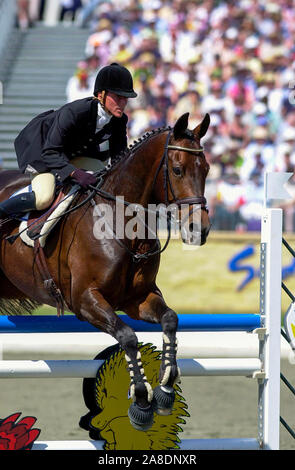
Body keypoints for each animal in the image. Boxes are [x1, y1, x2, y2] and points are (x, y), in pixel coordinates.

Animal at [0, 112, 212, 432]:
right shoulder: (85, 301)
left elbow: (170, 320)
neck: (122, 222)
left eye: (208, 170)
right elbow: (127, 337)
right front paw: (141, 402)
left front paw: (165, 389)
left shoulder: (138, 298)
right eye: (177, 170)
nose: (198, 230)